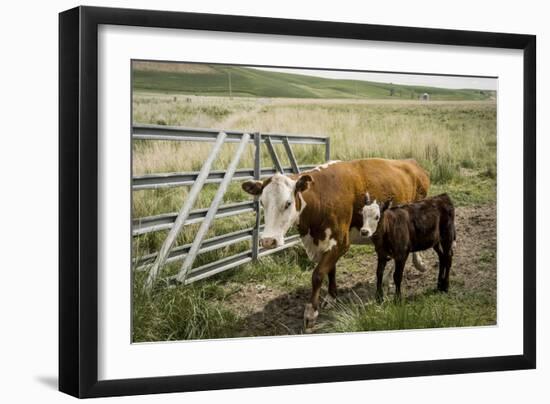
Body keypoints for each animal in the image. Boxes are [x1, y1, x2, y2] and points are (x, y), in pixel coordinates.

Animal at [243, 158, 432, 332]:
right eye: (262, 203)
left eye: (288, 203)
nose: (268, 241)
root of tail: (411, 162)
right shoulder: (324, 242)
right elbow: (330, 270)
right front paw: (332, 296)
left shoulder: (341, 242)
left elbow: (318, 274)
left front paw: (311, 313)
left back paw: (404, 270)